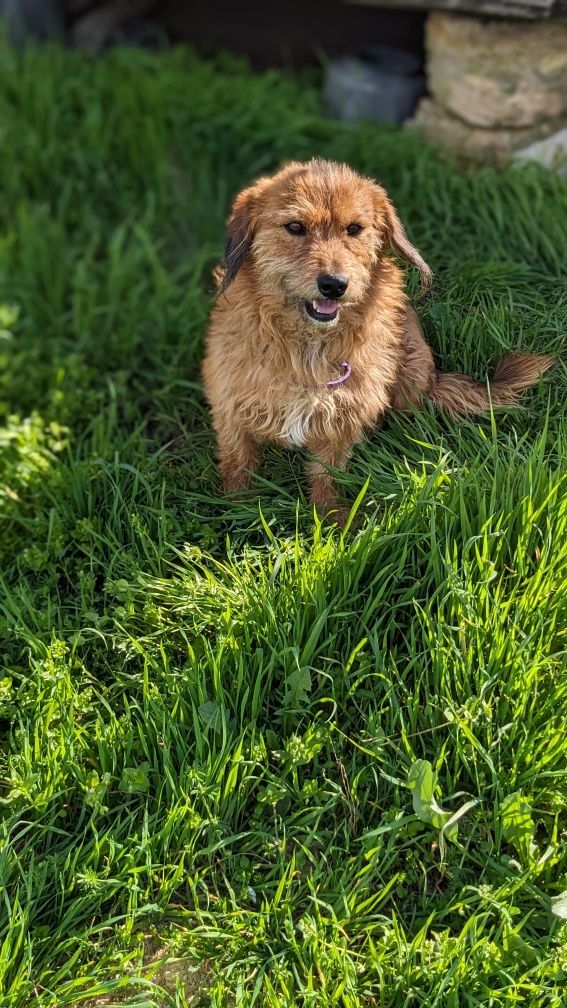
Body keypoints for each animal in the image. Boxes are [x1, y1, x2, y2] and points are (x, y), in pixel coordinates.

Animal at [201, 159, 548, 520]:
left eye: (354, 228)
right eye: (295, 226)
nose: (334, 284)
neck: (309, 347)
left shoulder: (344, 416)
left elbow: (327, 472)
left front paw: (330, 517)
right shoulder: (229, 402)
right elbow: (238, 459)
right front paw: (236, 506)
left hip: (409, 373)